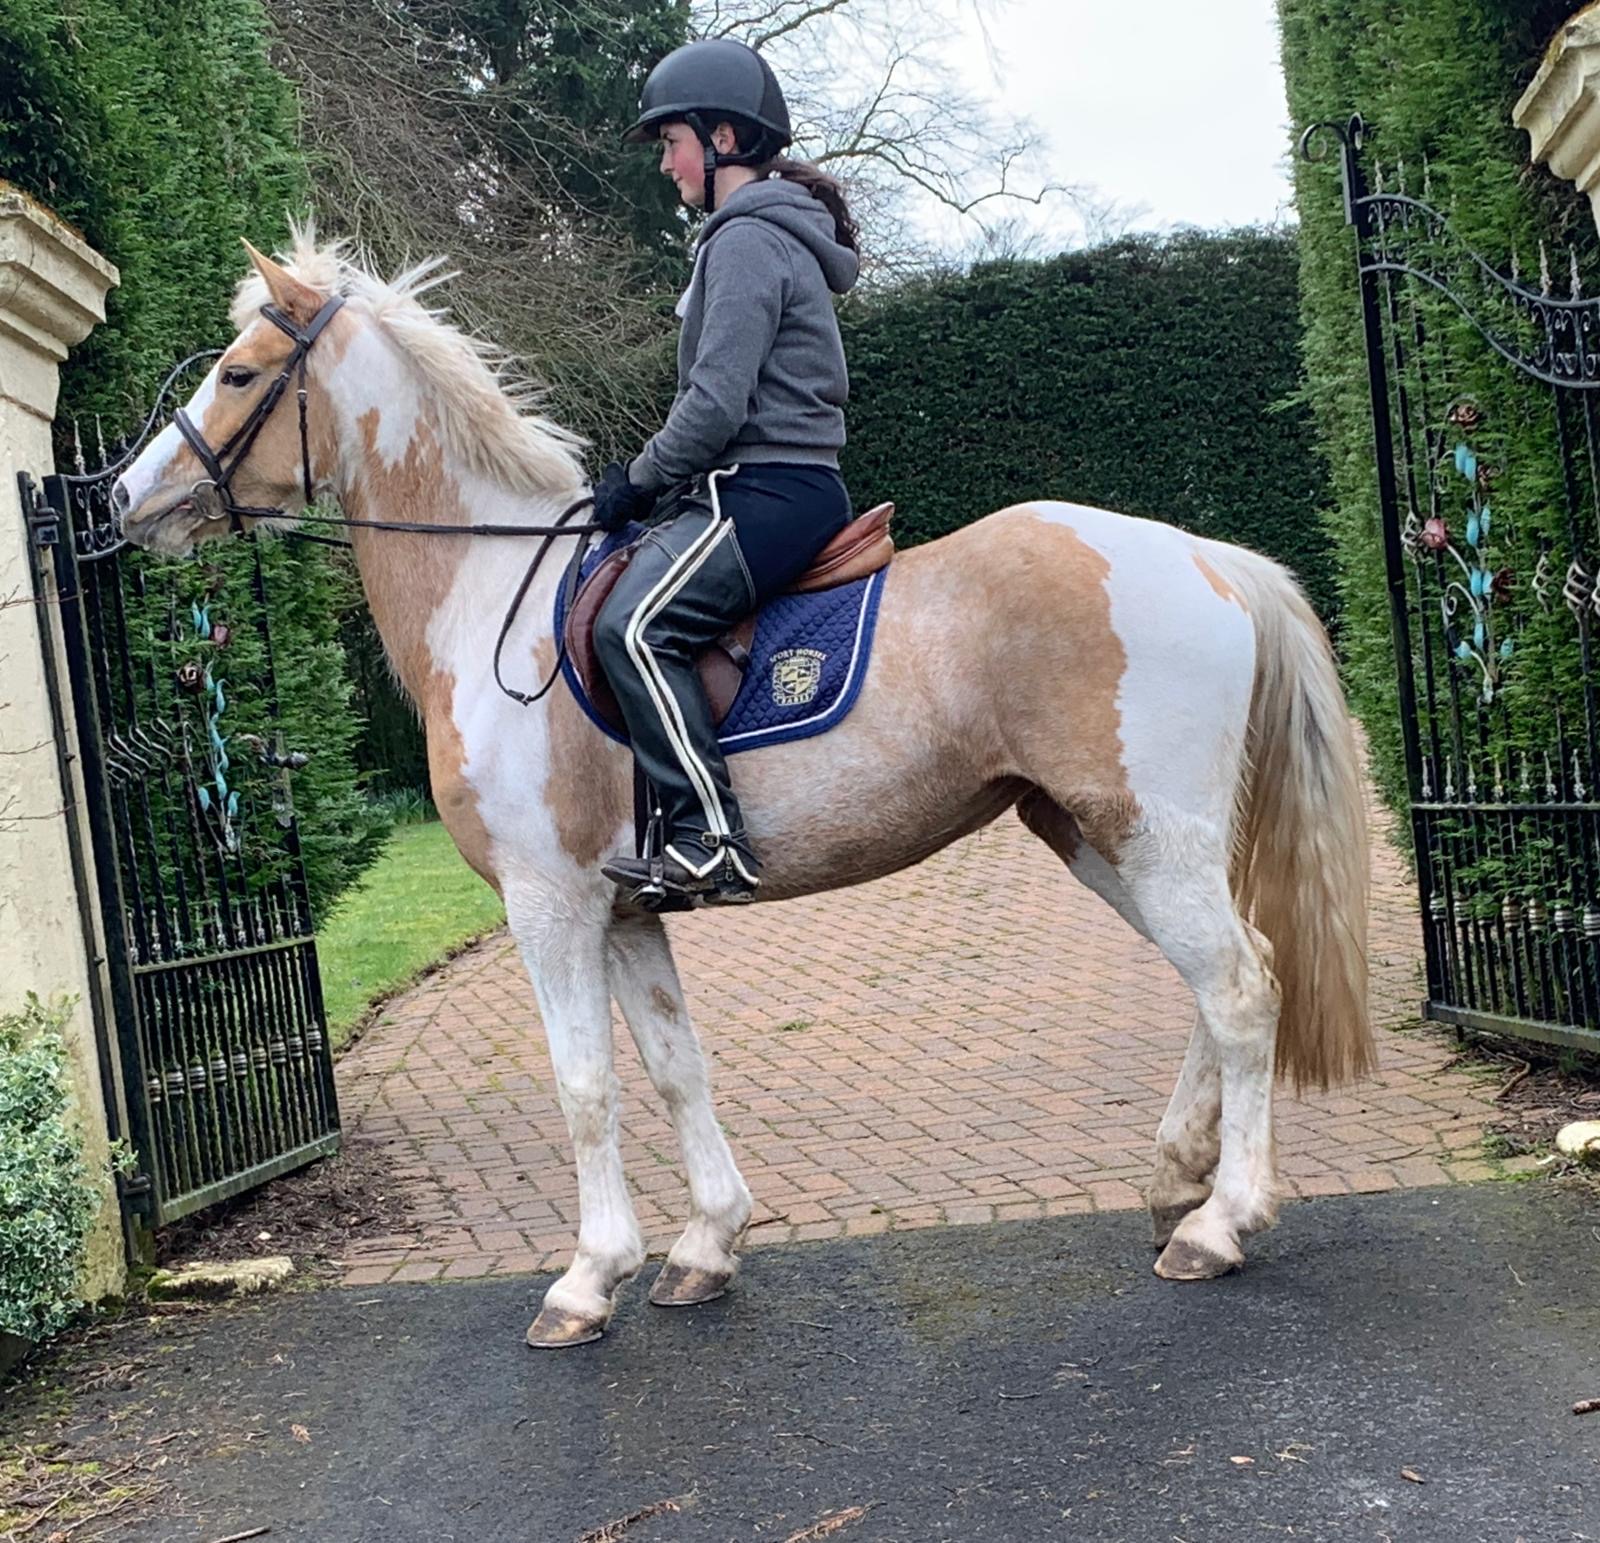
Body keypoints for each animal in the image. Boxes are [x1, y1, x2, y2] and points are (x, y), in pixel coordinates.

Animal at [111, 232, 1373, 1349]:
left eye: (237, 373)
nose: (124, 499)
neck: (488, 600)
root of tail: (1207, 558)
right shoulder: (624, 911)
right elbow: (676, 1068)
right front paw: (705, 1244)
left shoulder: (547, 906)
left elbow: (584, 1084)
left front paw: (586, 1278)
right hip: (1101, 840)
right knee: (1219, 984)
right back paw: (1174, 1179)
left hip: (1150, 837)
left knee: (1240, 990)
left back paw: (1221, 1221)